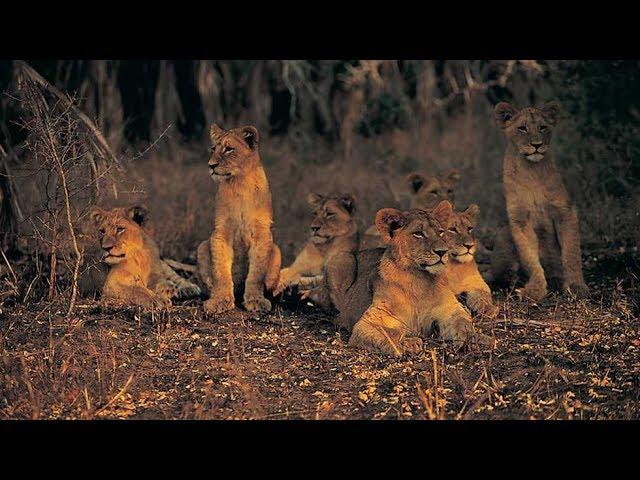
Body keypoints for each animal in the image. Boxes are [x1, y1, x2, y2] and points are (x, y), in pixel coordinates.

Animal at [198, 123, 282, 316]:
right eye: (213, 149)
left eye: (229, 149)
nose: (211, 165)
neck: (239, 183)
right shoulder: (220, 233)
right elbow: (220, 271)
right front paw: (220, 301)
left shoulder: (262, 234)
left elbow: (256, 273)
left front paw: (255, 300)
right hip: (202, 246)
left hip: (276, 250)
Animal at [310, 200, 496, 356]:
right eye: (418, 234)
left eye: (441, 232)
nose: (443, 252)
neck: (419, 279)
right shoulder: (367, 323)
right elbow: (390, 332)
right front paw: (408, 342)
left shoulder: (451, 309)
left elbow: (464, 323)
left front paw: (477, 339)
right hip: (340, 258)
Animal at [490, 103, 592, 302]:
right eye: (522, 128)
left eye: (543, 128)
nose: (536, 145)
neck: (532, 172)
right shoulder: (519, 219)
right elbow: (529, 257)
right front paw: (534, 290)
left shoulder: (565, 212)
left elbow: (571, 253)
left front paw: (576, 287)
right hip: (503, 234)